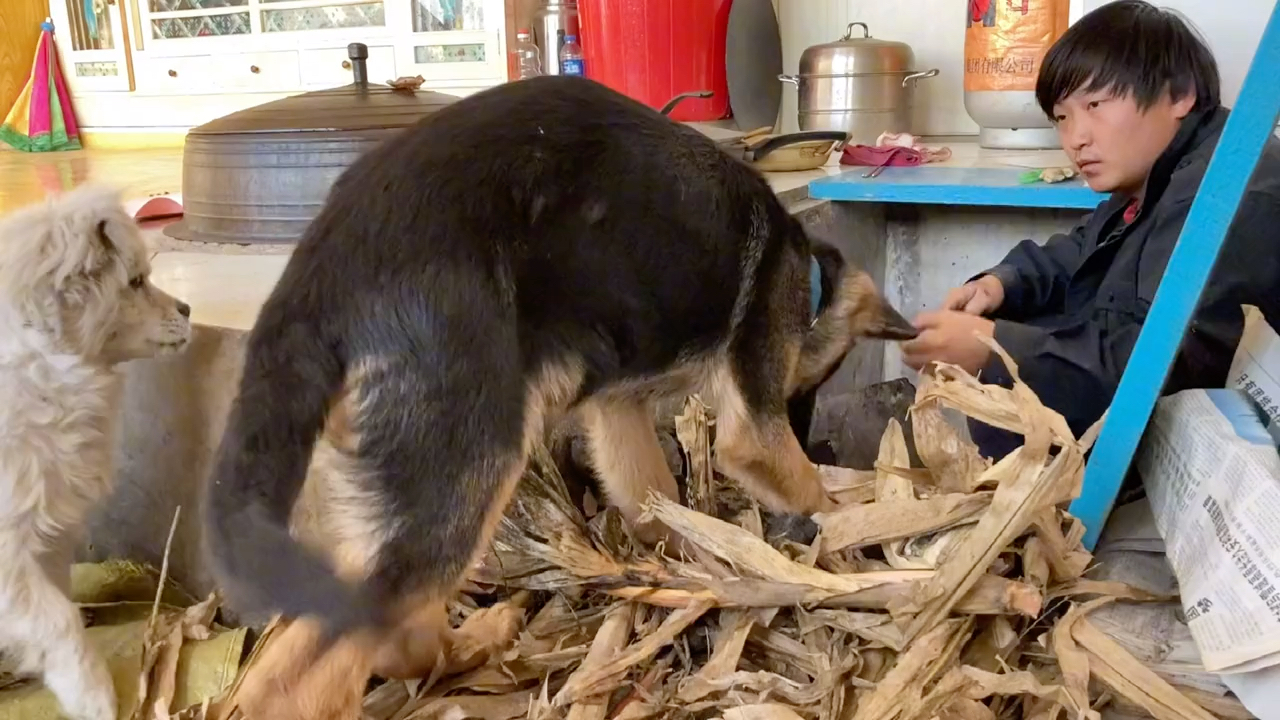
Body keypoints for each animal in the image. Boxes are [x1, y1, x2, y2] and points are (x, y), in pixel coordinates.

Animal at [0, 184, 192, 717]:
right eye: (136, 281)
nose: (189, 309)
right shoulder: (8, 555)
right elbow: (57, 619)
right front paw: (94, 696)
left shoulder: (44, 532)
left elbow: (54, 605)